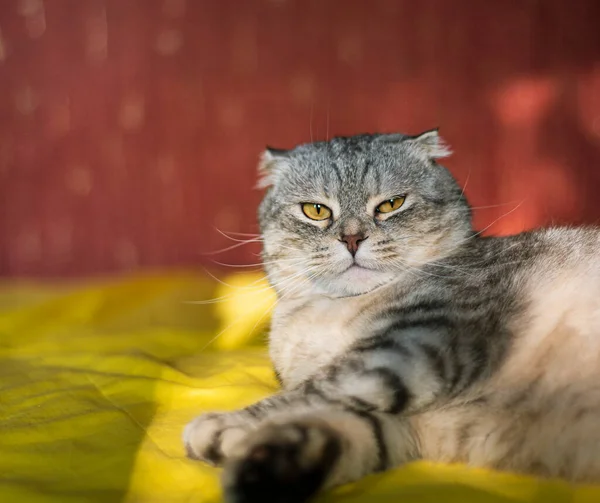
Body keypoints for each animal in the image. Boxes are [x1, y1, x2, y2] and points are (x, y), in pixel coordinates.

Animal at [183, 131, 600, 503]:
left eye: (391, 204)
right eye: (316, 210)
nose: (352, 239)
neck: (330, 311)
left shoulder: (414, 343)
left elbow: (314, 391)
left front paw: (225, 426)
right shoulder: (409, 426)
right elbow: (341, 433)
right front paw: (265, 465)